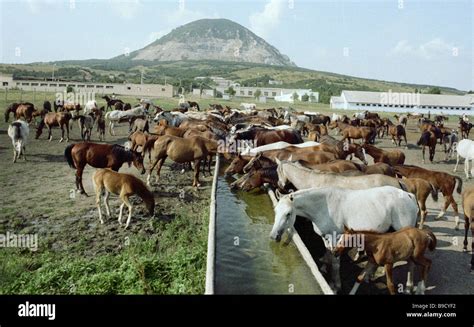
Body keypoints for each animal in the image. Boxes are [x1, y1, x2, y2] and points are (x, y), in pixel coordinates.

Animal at [270, 188, 418, 294]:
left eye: (288, 213)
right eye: (275, 211)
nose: (273, 236)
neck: (323, 207)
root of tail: (409, 195)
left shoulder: (336, 238)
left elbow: (336, 264)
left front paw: (336, 286)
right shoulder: (326, 237)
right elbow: (329, 255)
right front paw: (325, 269)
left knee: (411, 261)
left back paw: (408, 287)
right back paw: (369, 276)